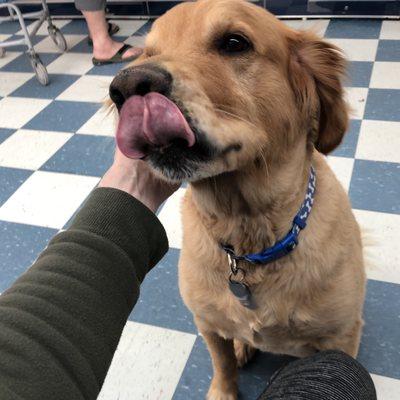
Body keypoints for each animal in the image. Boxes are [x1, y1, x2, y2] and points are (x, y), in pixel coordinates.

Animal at [108, 1, 366, 398]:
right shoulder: (206, 322)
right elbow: (222, 364)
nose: (127, 86)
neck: (249, 238)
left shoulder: (342, 336)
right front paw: (223, 390)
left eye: (234, 42)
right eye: (148, 53)